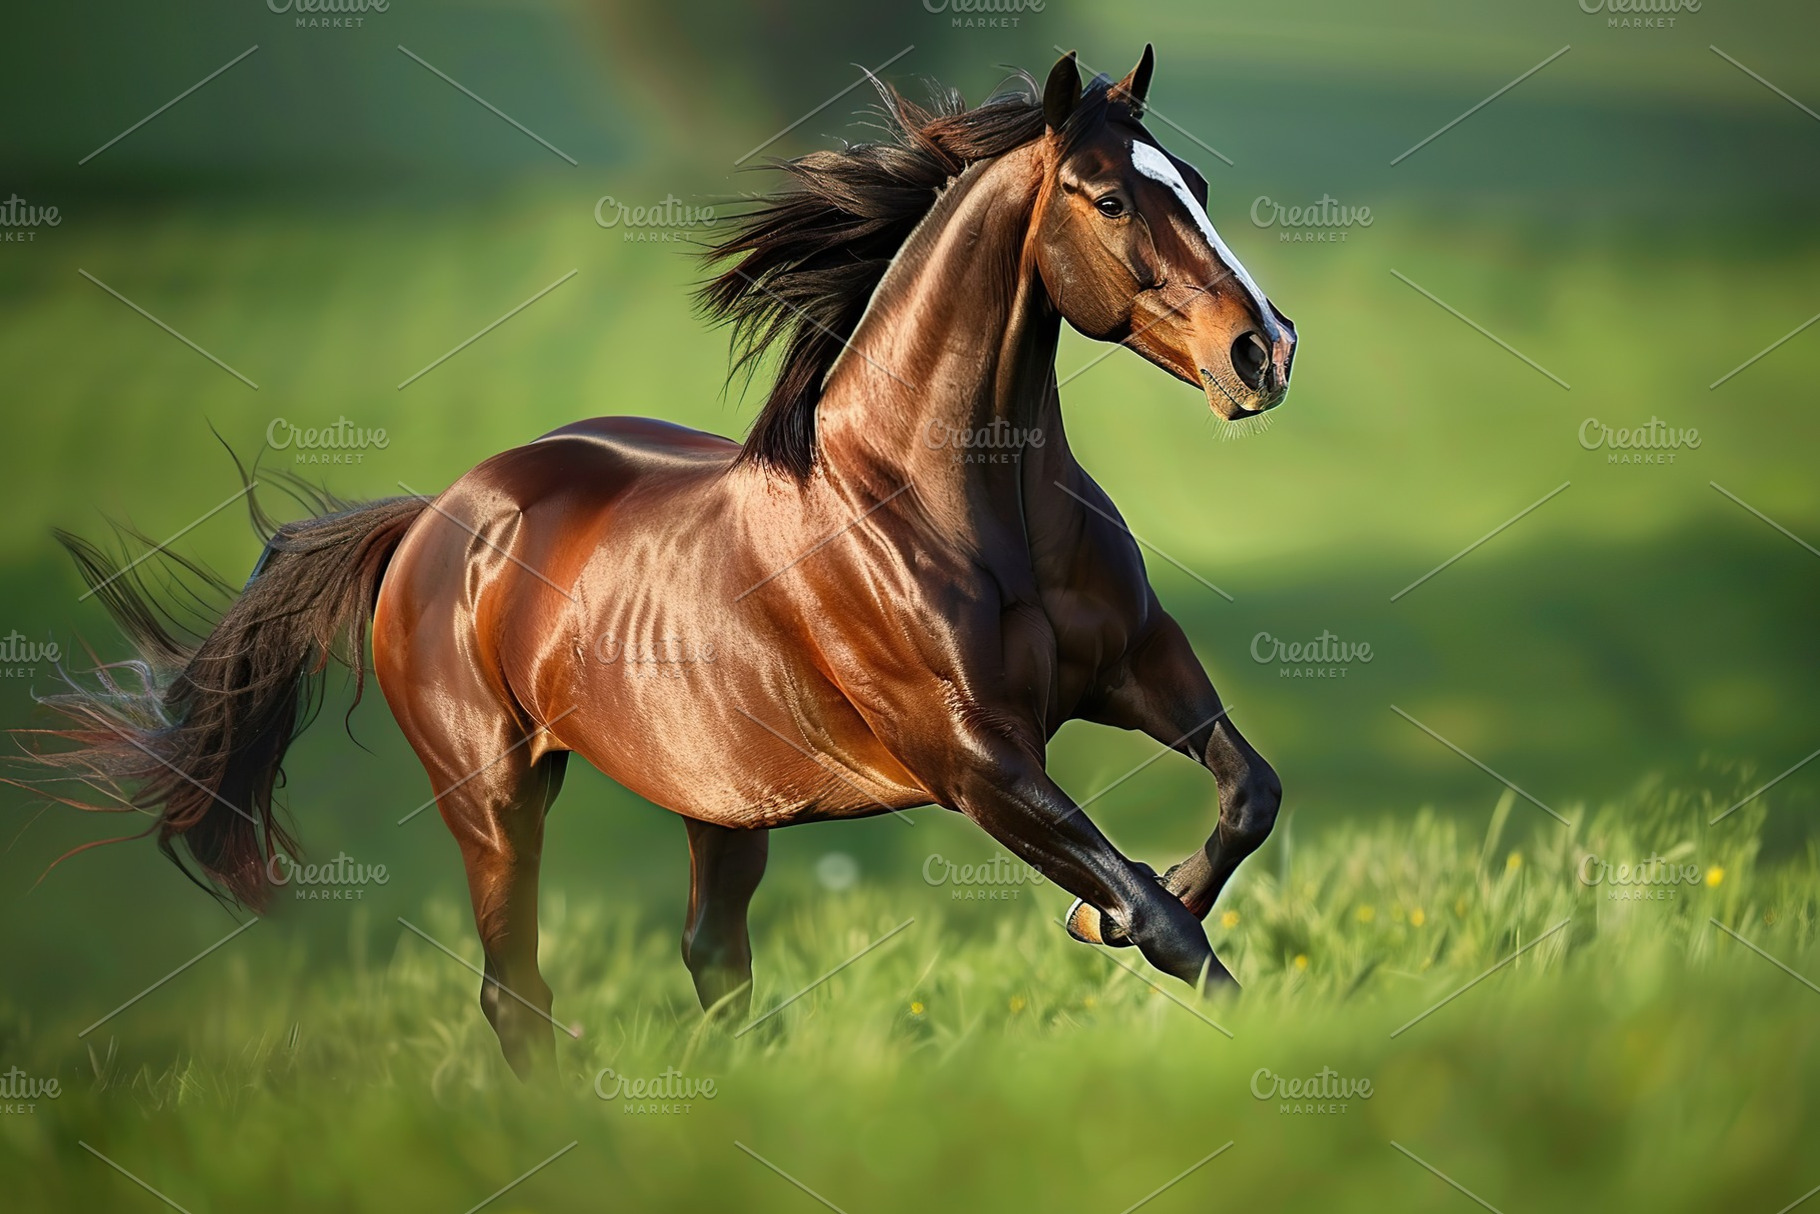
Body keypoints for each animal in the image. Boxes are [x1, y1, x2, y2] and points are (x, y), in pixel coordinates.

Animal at [24, 47, 1295, 1078]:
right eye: (1110, 196)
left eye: (1194, 183)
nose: (1263, 352)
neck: (954, 506)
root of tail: (433, 518)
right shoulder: (974, 756)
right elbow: (1158, 912)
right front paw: (1210, 997)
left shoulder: (1138, 670)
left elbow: (1246, 796)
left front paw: (1107, 920)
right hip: (495, 795)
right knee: (519, 993)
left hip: (717, 802)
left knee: (710, 960)